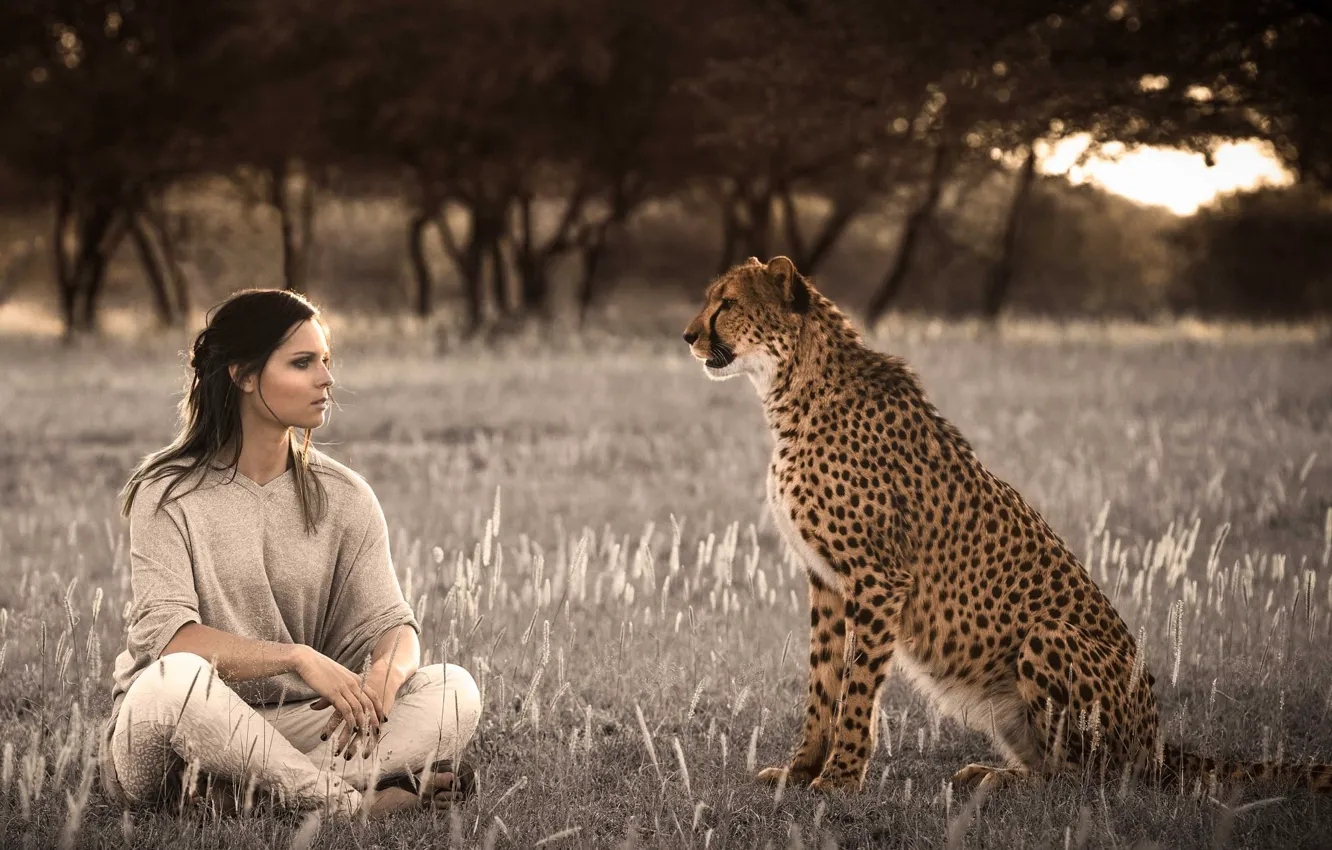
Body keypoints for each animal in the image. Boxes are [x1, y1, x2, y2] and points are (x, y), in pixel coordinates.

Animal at [682, 255, 1332, 795]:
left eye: (727, 302)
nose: (688, 336)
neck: (792, 389)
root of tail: (1157, 745)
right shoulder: (827, 579)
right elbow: (821, 682)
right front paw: (801, 770)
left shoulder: (877, 578)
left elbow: (856, 686)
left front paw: (840, 779)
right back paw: (990, 771)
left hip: (1051, 638)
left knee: (1082, 778)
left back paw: (1005, 780)